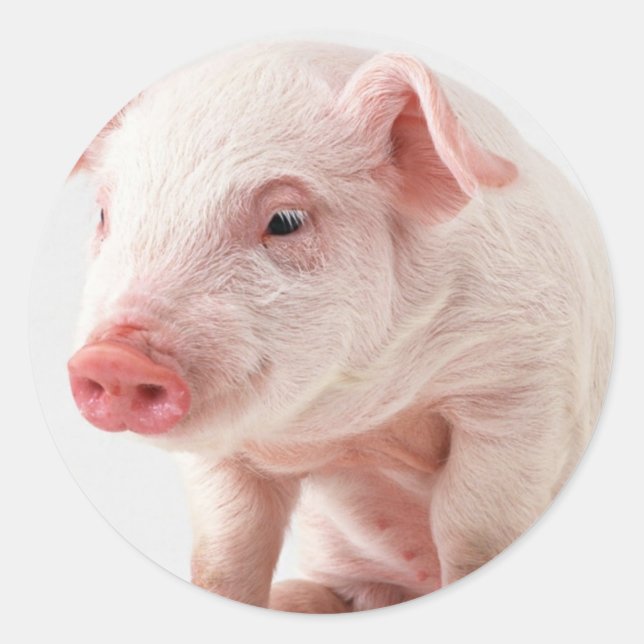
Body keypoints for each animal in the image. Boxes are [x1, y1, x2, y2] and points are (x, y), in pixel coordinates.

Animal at [66, 41, 613, 612]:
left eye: (285, 220)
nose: (115, 355)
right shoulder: (218, 458)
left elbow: (475, 531)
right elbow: (227, 548)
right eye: (103, 214)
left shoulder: (528, 382)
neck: (358, 427)